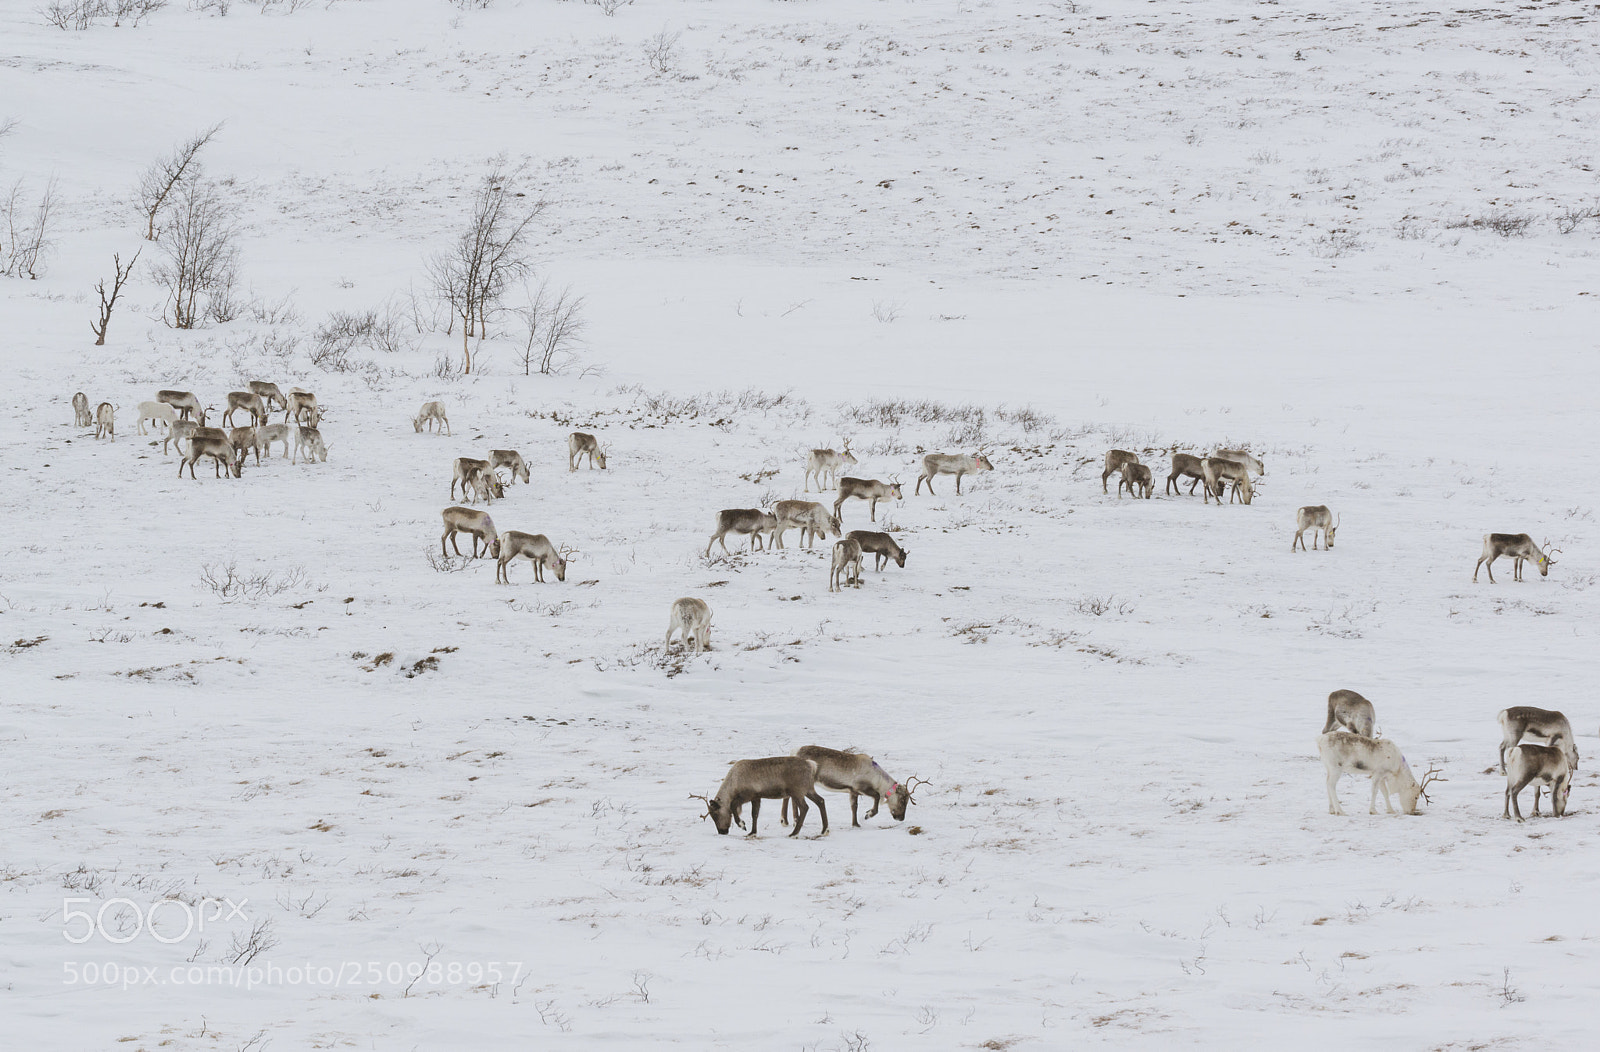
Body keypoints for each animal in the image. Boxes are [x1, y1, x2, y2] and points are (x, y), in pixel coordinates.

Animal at [691, 756, 829, 838]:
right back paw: (824, 830)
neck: (733, 785)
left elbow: (733, 806)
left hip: (797, 791)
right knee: (821, 801)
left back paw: (794, 833)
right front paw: (752, 832)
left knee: (805, 807)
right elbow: (755, 814)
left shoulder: (747, 795)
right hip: (808, 789)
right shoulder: (756, 797)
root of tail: (811, 765)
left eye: (715, 814)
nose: (722, 832)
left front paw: (742, 825)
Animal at [780, 747, 924, 828]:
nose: (901, 818)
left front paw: (856, 824)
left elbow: (854, 807)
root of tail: (793, 752)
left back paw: (785, 821)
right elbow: (877, 797)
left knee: (787, 797)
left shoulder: (852, 791)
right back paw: (793, 820)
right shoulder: (861, 787)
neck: (878, 779)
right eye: (903, 800)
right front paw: (868, 814)